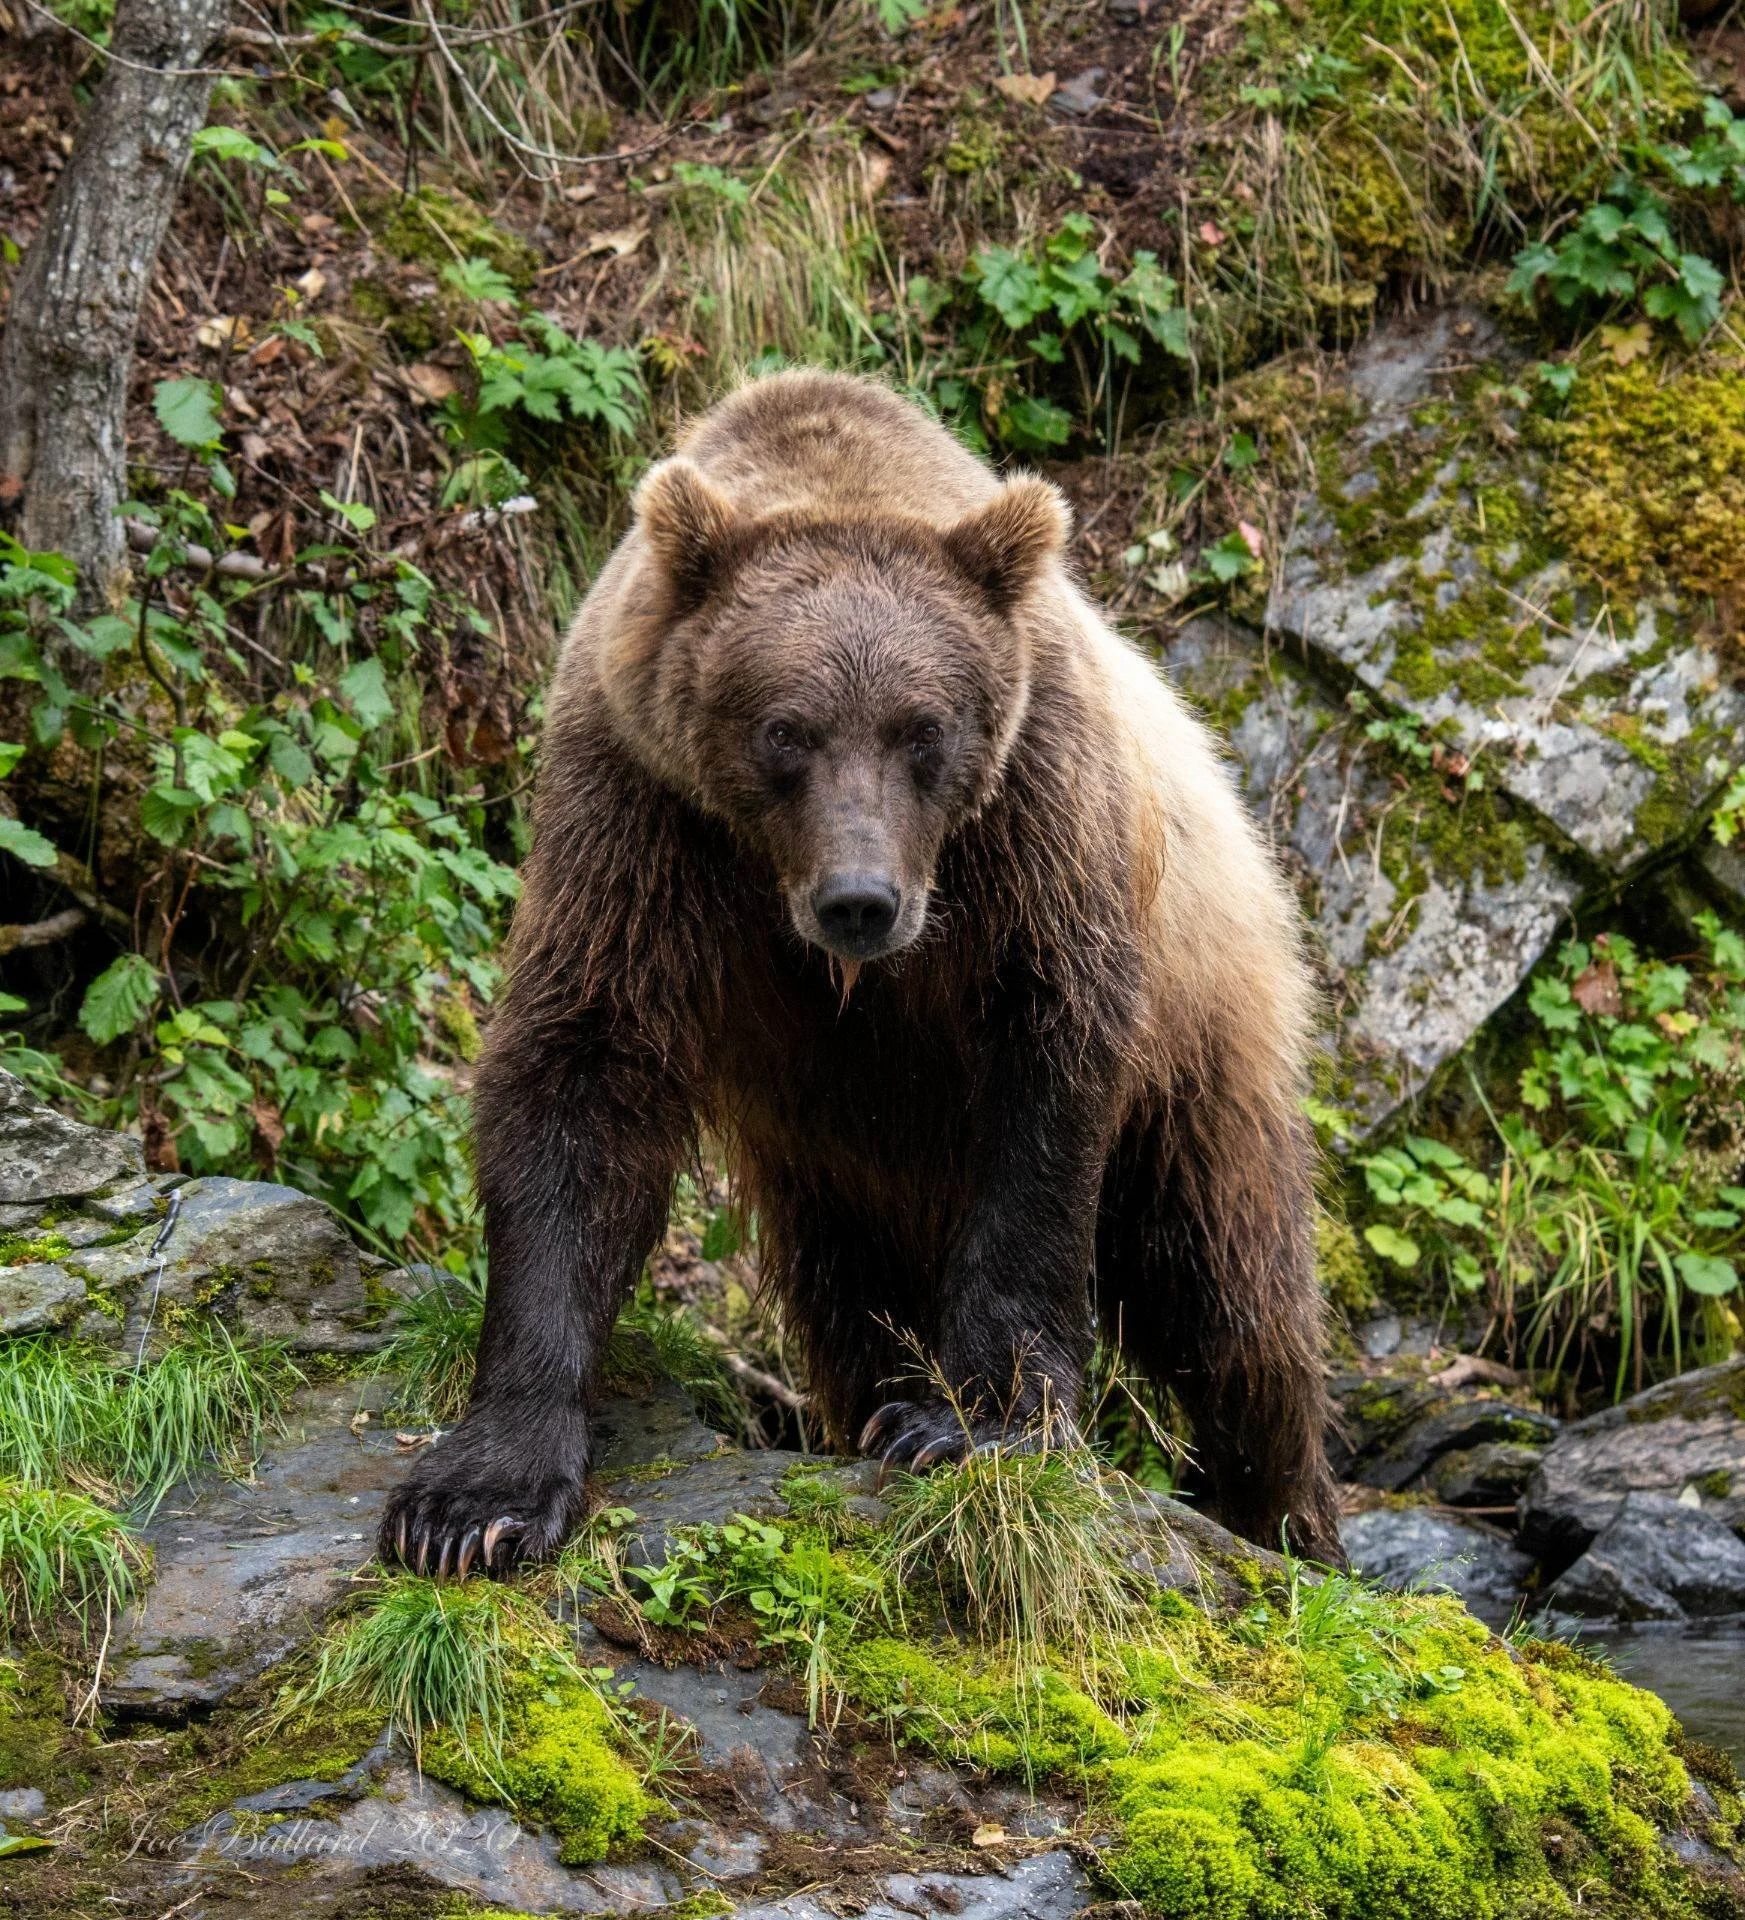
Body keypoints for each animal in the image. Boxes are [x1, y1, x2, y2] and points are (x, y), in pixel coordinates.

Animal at [379, 369, 1342, 1578]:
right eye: (784, 730)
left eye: (921, 730)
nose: (859, 901)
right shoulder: (641, 809)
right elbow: (582, 1070)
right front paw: (478, 1499)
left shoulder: (1033, 816)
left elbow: (1049, 1071)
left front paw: (969, 1421)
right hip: (832, 1164)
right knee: (851, 1298)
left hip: (1203, 1027)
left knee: (1223, 1288)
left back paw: (1286, 1516)